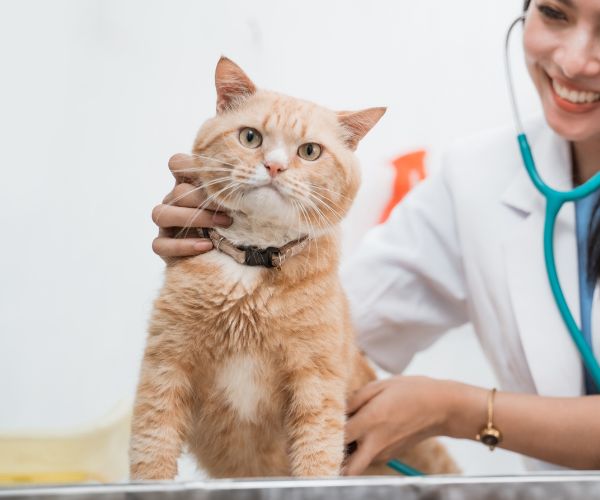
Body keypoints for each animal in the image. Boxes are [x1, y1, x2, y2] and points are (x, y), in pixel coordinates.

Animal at [129, 56, 458, 478]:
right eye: (250, 137)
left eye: (310, 151)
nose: (274, 166)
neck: (252, 264)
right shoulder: (166, 367)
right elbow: (152, 451)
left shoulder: (316, 383)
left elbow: (316, 458)